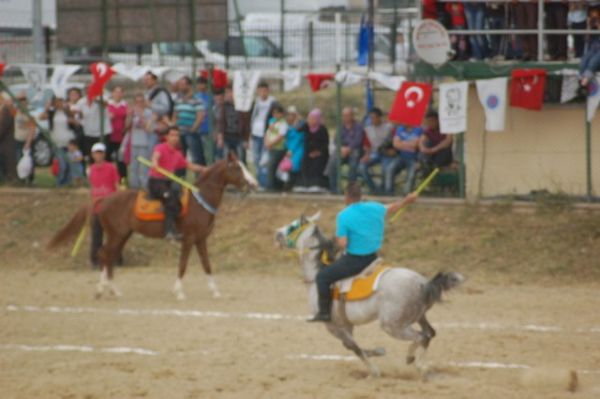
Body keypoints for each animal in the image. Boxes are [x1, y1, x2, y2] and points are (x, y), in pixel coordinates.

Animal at [48, 154, 258, 300]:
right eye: (237, 167)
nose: (254, 183)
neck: (199, 201)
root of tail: (104, 199)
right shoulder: (189, 239)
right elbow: (183, 265)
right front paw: (179, 292)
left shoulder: (201, 239)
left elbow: (206, 265)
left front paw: (215, 292)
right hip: (117, 234)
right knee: (104, 254)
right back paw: (102, 289)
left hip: (123, 235)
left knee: (109, 256)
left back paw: (113, 290)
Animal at [274, 212, 466, 378]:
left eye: (292, 226)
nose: (277, 233)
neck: (317, 274)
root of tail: (423, 282)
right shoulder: (346, 324)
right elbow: (351, 346)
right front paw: (377, 352)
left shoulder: (332, 325)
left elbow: (353, 347)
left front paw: (374, 370)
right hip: (418, 316)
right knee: (430, 333)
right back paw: (419, 363)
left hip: (392, 326)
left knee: (422, 336)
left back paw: (416, 363)